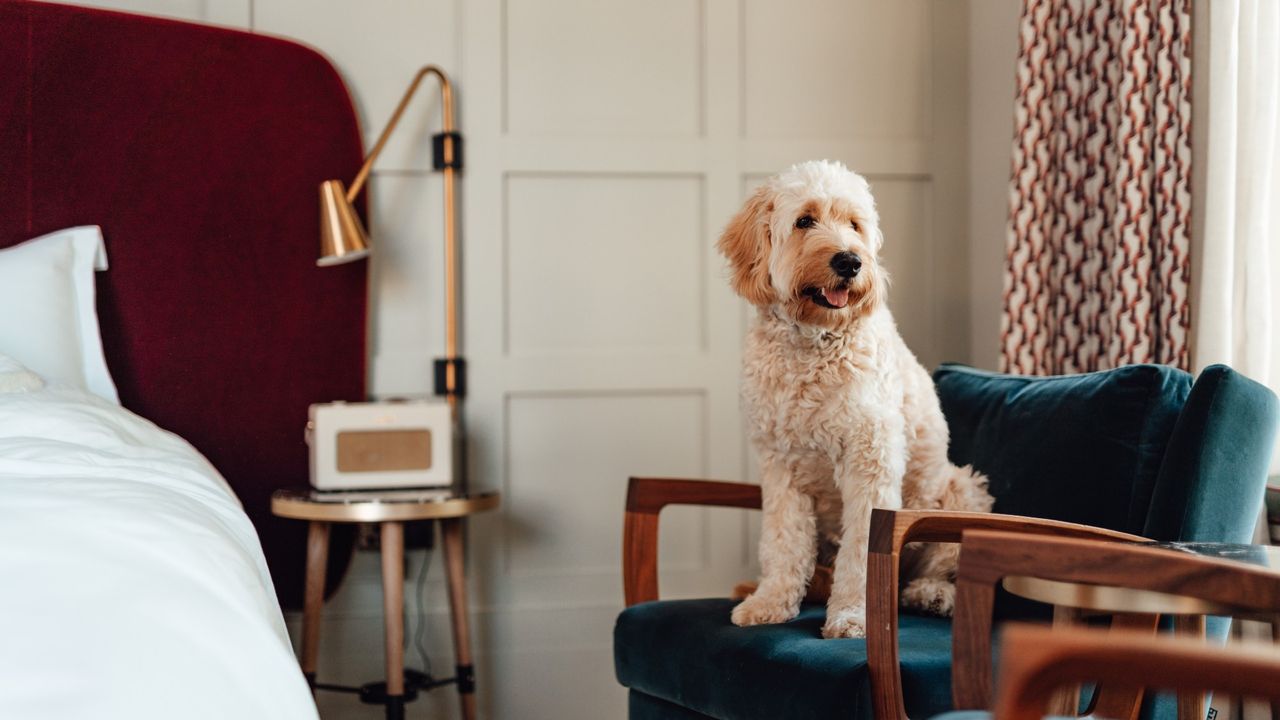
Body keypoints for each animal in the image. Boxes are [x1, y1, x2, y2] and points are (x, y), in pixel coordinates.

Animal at [721, 159, 988, 635]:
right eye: (804, 220)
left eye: (854, 224)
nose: (850, 261)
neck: (814, 342)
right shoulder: (780, 467)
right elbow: (783, 541)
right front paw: (770, 602)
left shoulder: (871, 461)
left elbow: (862, 551)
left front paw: (851, 616)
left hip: (961, 490)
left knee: (941, 568)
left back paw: (930, 594)